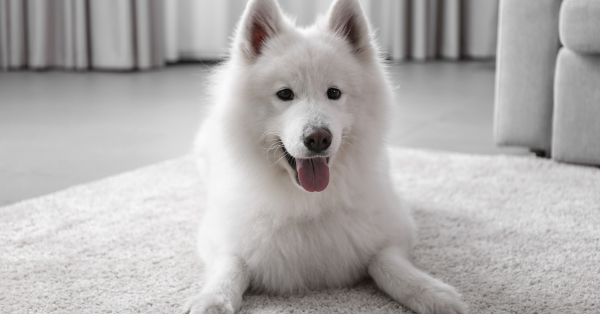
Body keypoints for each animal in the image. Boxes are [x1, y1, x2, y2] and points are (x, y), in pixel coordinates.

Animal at [184, 1, 468, 312]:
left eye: (334, 92)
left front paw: (431, 293)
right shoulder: (216, 236)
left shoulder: (396, 228)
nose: (318, 138)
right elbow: (232, 264)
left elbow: (384, 261)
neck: (309, 201)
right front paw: (212, 299)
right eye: (285, 94)